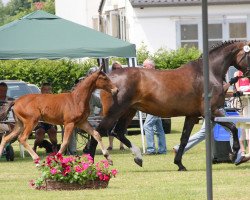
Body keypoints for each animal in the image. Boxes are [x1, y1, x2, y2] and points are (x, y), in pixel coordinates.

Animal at [87, 40, 250, 170]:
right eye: (249, 54)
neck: (207, 73)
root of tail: (107, 77)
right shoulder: (212, 111)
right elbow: (233, 127)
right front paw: (233, 154)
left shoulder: (192, 116)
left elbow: (184, 139)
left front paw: (179, 164)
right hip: (114, 112)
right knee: (99, 132)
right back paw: (90, 163)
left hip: (128, 111)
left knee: (118, 132)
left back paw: (138, 157)